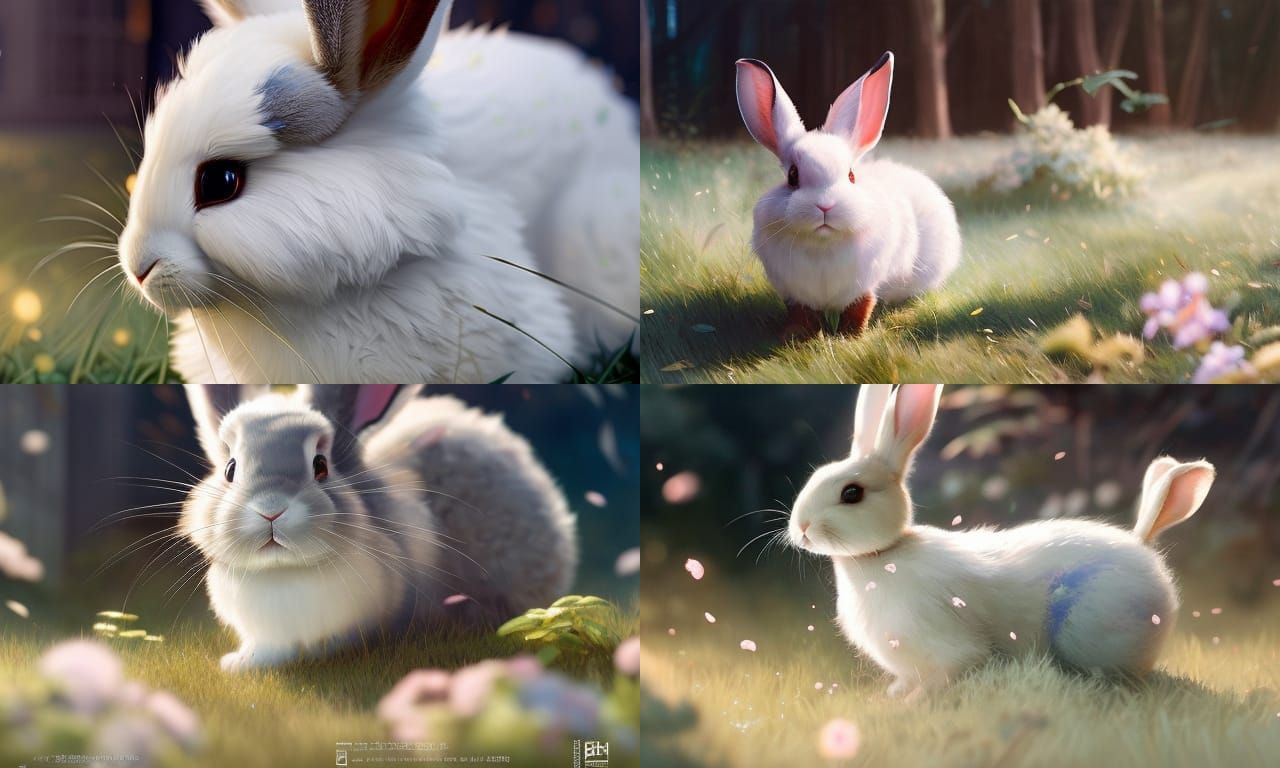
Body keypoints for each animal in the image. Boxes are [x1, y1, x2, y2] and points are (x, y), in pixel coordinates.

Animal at [736, 53, 961, 340]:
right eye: (793, 176)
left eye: (851, 175)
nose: (825, 206)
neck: (822, 245)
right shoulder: (794, 292)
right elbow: (800, 313)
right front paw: (793, 335)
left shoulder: (864, 284)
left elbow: (860, 307)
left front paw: (851, 336)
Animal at [788, 384, 1213, 699]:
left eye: (852, 493)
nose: (801, 528)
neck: (884, 554)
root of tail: (1142, 545)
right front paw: (894, 695)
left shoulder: (944, 644)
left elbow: (946, 675)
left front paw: (909, 705)